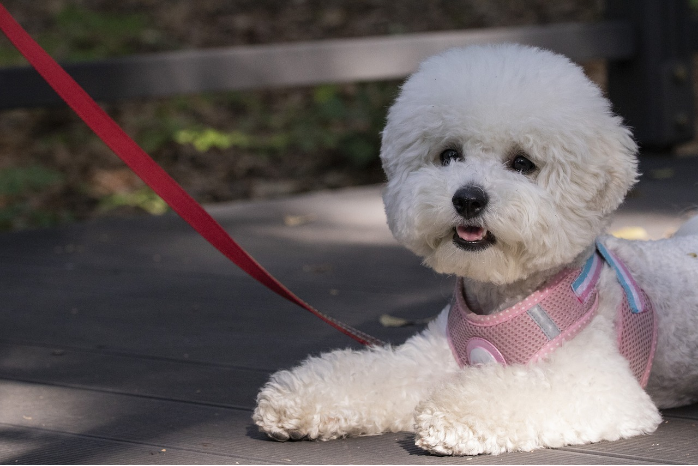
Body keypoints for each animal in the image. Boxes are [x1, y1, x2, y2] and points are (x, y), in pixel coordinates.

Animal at [253, 44, 696, 456]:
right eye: (449, 155)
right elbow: (375, 373)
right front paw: (297, 399)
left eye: (523, 163)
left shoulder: (599, 384)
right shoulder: (428, 360)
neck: (502, 297)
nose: (468, 199)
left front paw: (451, 414)